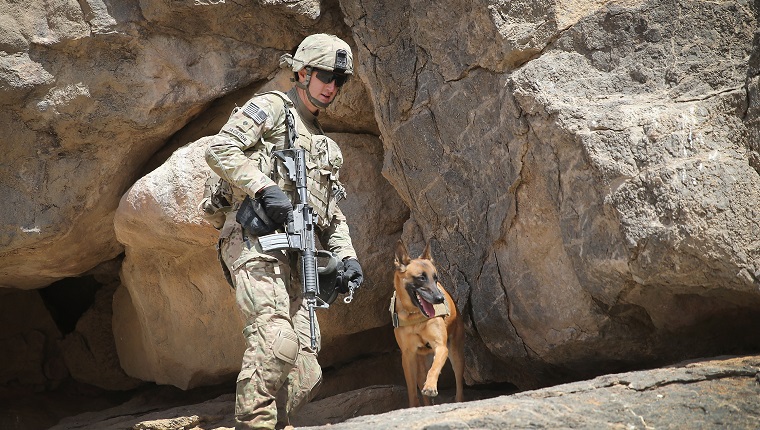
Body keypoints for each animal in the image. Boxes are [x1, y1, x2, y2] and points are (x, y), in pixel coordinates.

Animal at [392, 240, 464, 408]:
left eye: (435, 278)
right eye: (421, 278)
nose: (439, 298)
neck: (414, 316)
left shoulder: (441, 347)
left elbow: (435, 368)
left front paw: (430, 386)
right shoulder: (408, 356)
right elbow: (412, 390)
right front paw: (414, 406)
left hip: (456, 355)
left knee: (459, 386)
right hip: (420, 365)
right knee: (420, 381)